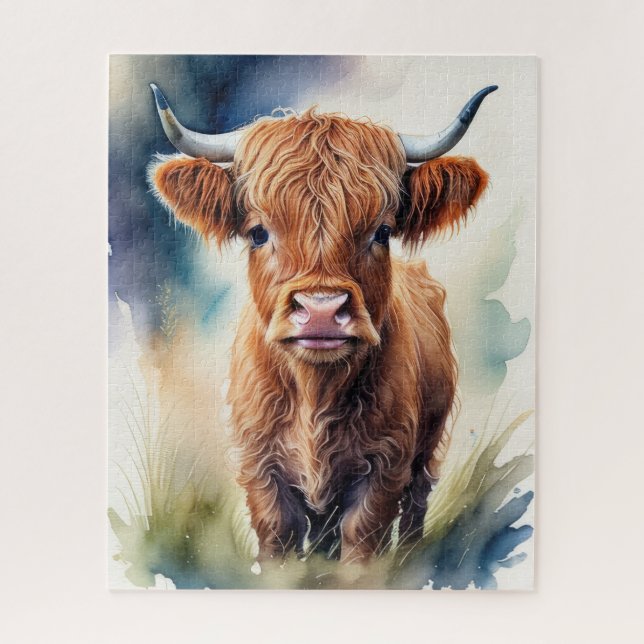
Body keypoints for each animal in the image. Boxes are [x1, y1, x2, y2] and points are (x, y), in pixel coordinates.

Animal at [148, 84, 495, 564]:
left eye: (382, 231)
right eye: (258, 232)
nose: (321, 311)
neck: (315, 394)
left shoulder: (385, 467)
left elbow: (361, 543)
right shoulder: (260, 468)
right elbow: (280, 542)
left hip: (427, 451)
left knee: (414, 510)